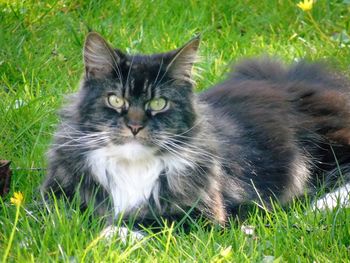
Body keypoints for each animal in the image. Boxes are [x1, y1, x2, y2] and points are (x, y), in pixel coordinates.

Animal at [41, 32, 350, 229]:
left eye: (159, 103)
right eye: (116, 100)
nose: (135, 126)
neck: (133, 167)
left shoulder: (202, 215)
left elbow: (145, 224)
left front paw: (110, 235)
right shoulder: (54, 197)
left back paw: (319, 207)